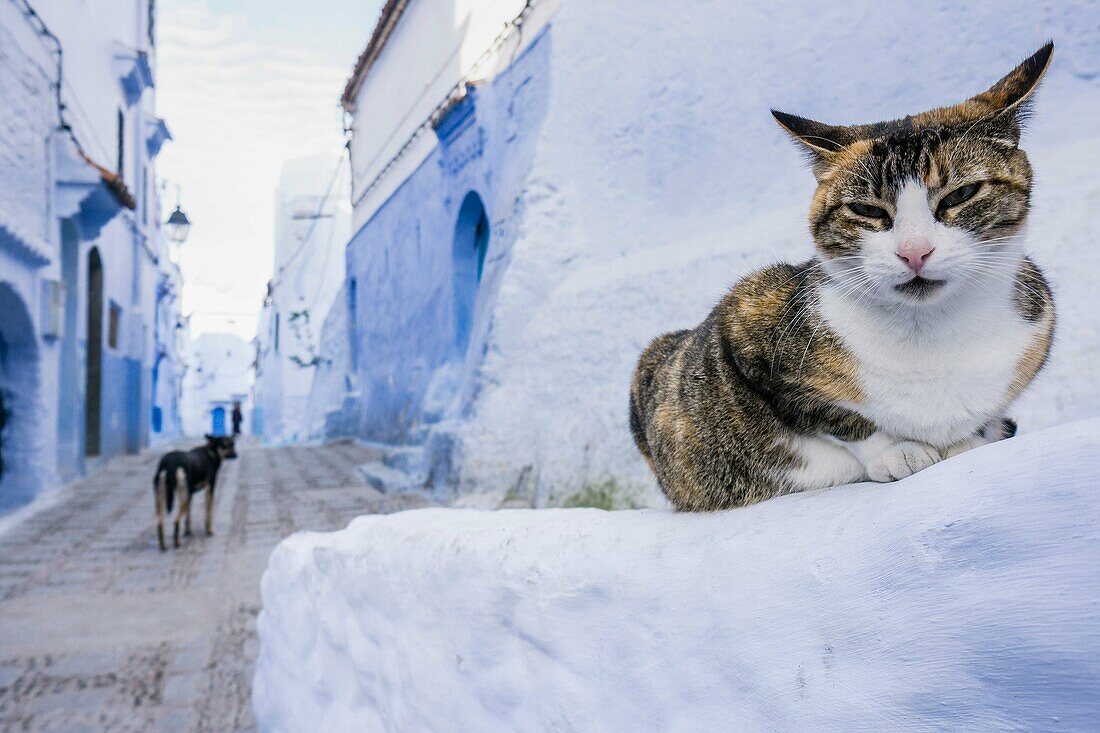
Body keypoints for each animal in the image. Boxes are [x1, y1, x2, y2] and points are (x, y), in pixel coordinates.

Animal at [629, 39, 1056, 508]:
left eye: (960, 194)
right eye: (866, 210)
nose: (914, 252)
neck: (928, 331)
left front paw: (970, 439)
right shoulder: (743, 321)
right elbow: (830, 415)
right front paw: (897, 452)